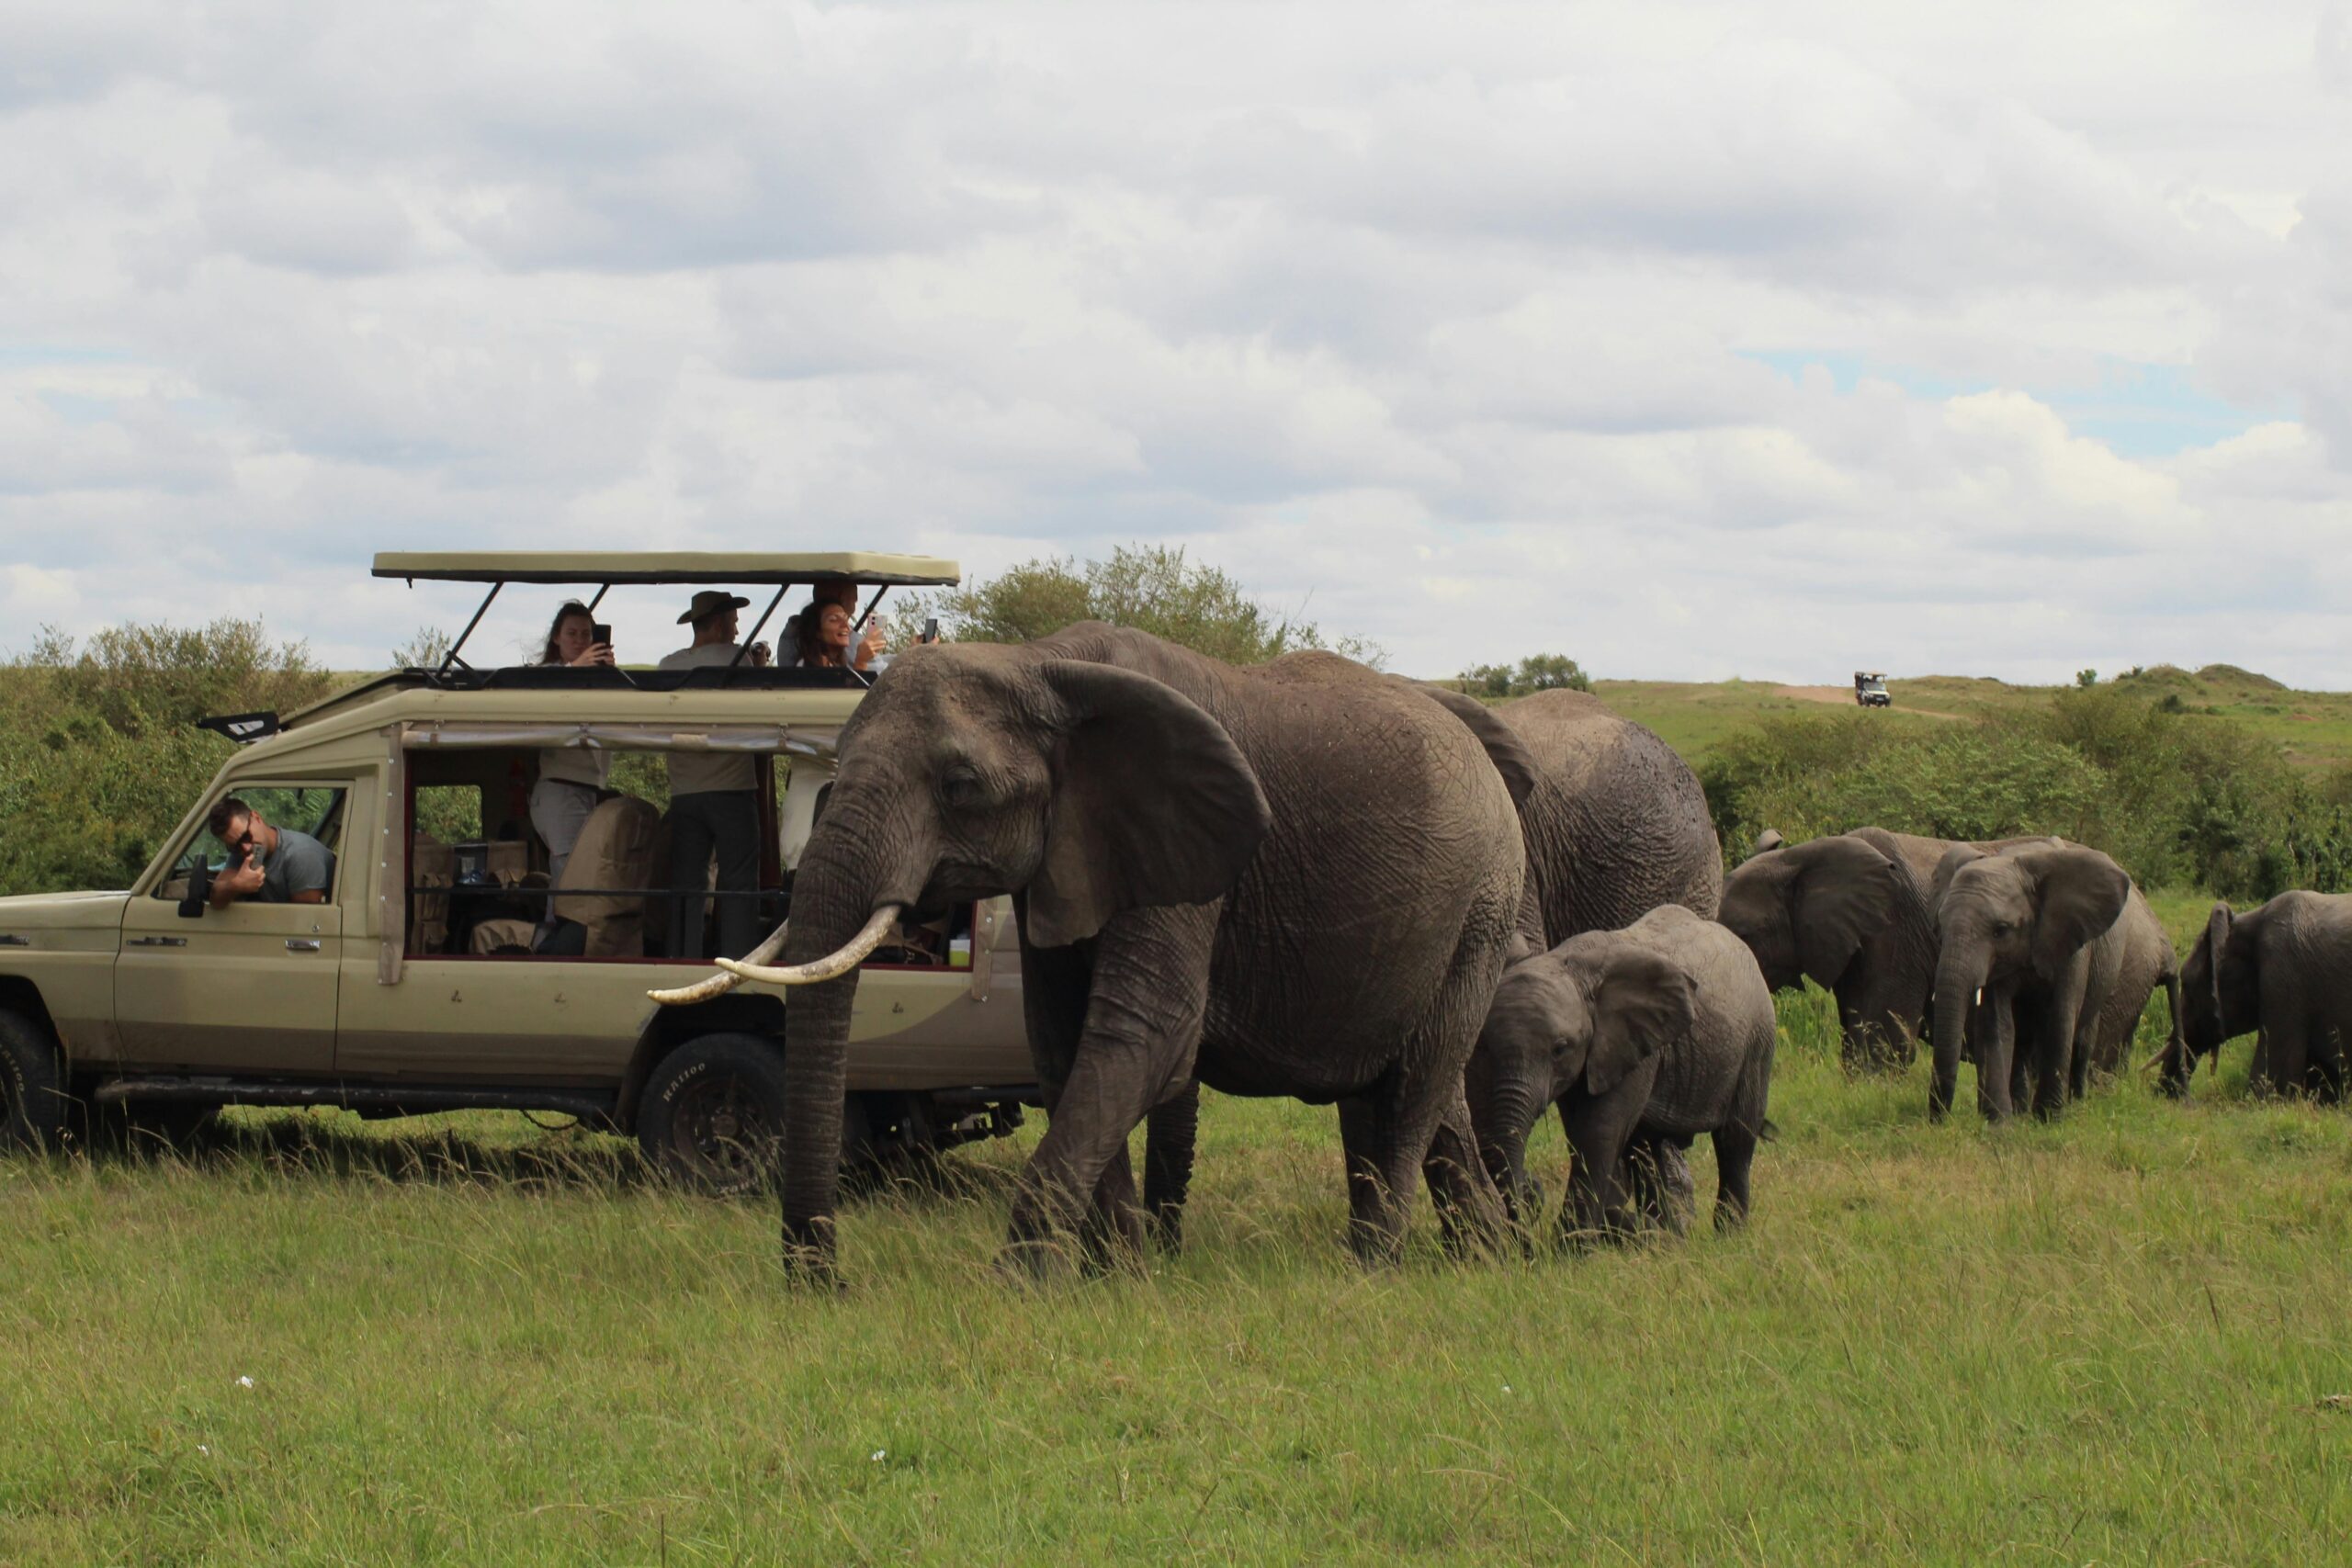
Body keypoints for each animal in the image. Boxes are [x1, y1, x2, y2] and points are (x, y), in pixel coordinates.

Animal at [656, 623, 1528, 1280]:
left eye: (961, 786)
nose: (827, 1282)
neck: (1037, 661)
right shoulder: (1072, 857)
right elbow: (1062, 1042)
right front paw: (1117, 1280)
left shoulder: (1185, 856)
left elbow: (1144, 1036)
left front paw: (1017, 1287)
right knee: (1407, 1086)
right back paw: (1486, 1259)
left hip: (1482, 904)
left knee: (1415, 1084)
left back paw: (1373, 1268)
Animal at [1465, 904, 1776, 1240]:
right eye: (1483, 1046)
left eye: (1560, 1049)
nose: (1531, 1190)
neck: (1572, 964)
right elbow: (1583, 1132)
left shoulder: (1630, 1047)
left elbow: (1597, 1132)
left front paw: (1570, 1244)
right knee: (1646, 1148)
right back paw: (1668, 1235)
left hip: (1757, 1041)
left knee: (1735, 1139)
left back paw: (1727, 1234)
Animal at [1927, 841, 2171, 1120]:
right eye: (1940, 927)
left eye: (2001, 930)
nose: (1939, 1119)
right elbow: (1996, 1025)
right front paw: (2000, 1123)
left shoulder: (2071, 943)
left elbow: (2059, 1020)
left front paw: (2048, 1119)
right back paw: (2020, 1111)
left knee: (2082, 1041)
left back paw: (2076, 1103)